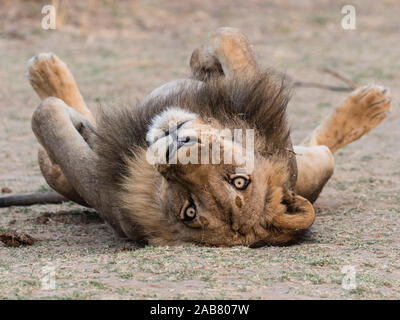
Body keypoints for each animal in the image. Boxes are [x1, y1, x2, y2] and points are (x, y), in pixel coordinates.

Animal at [18, 28, 390, 248]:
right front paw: (203, 66)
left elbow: (46, 117)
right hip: (312, 164)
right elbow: (230, 40)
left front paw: (62, 105)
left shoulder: (101, 188)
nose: (177, 147)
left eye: (190, 211)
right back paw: (371, 102)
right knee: (317, 145)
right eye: (240, 181)